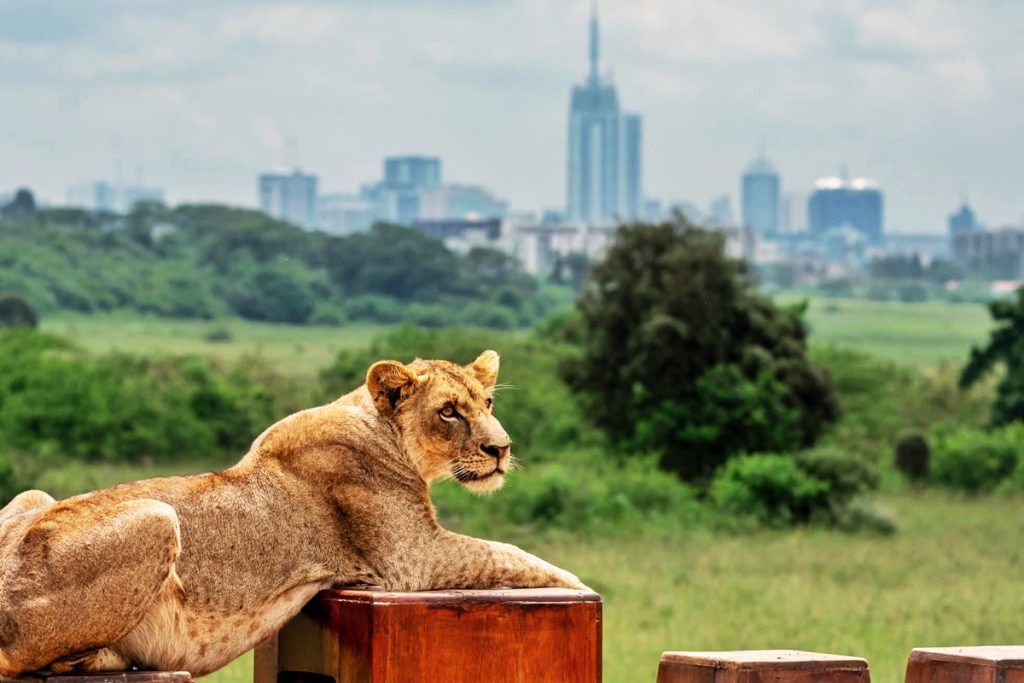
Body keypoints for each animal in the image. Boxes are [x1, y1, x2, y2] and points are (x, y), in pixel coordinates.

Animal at [0, 350, 587, 678]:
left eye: (488, 404)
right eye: (448, 412)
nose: (501, 449)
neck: (381, 429)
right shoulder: (413, 559)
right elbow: (509, 553)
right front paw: (578, 588)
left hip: (33, 495)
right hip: (158, 516)